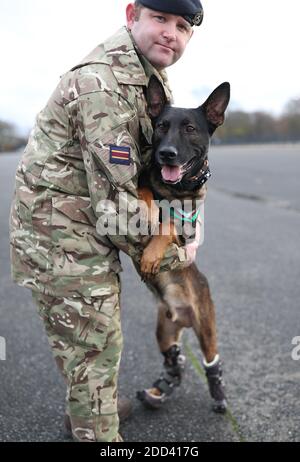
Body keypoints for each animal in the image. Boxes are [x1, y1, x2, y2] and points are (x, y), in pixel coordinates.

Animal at [137, 76, 232, 416]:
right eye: (161, 126)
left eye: (190, 128)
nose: (166, 153)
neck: (175, 188)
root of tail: (183, 318)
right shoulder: (145, 183)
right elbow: (145, 190)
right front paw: (148, 203)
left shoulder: (184, 231)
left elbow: (166, 226)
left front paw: (151, 254)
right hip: (164, 333)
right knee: (174, 358)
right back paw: (161, 389)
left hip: (207, 329)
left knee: (211, 360)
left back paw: (218, 393)